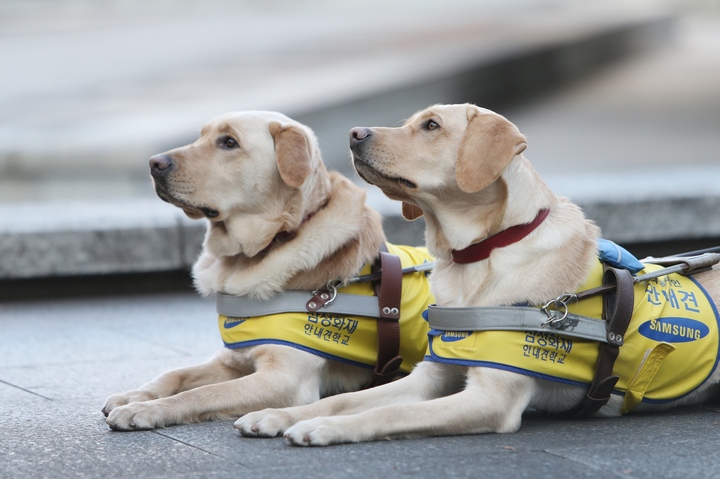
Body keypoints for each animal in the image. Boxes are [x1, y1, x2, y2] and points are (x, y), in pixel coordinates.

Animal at [101, 112, 434, 432]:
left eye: (229, 142)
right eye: (201, 137)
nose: (154, 163)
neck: (255, 253)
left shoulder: (285, 378)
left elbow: (202, 393)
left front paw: (145, 410)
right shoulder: (232, 360)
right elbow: (175, 374)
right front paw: (135, 396)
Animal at [236, 104, 720, 446]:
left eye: (431, 126)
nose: (355, 134)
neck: (476, 260)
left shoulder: (490, 398)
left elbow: (388, 413)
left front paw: (324, 428)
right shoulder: (430, 376)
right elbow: (345, 399)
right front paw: (279, 414)